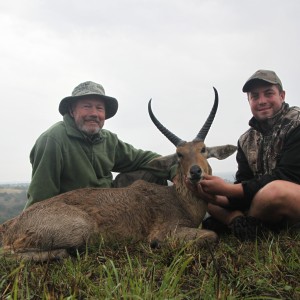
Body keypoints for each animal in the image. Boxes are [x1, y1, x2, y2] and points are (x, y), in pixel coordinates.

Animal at [0, 88, 236, 262]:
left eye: (203, 149)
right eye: (179, 154)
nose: (195, 172)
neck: (179, 200)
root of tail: (12, 225)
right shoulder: (168, 230)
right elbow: (212, 235)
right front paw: (156, 245)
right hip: (79, 230)